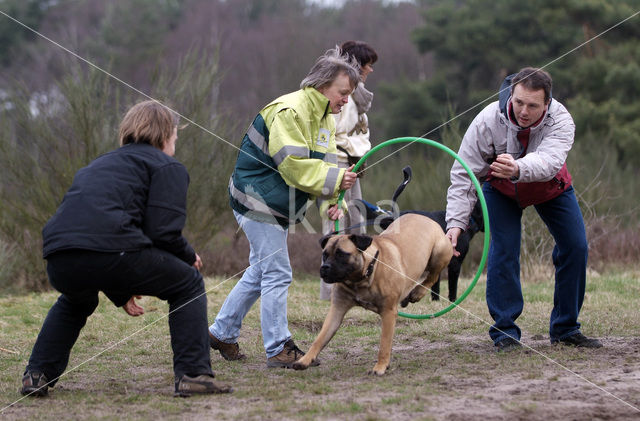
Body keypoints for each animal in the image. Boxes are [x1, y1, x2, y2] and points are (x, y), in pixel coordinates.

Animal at [292, 213, 452, 374]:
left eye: (341, 254)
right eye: (325, 255)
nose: (324, 267)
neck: (362, 278)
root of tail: (426, 218)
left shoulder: (388, 313)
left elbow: (384, 345)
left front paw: (380, 367)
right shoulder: (337, 309)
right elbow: (320, 338)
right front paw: (305, 359)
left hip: (440, 252)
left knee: (433, 276)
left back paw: (417, 293)